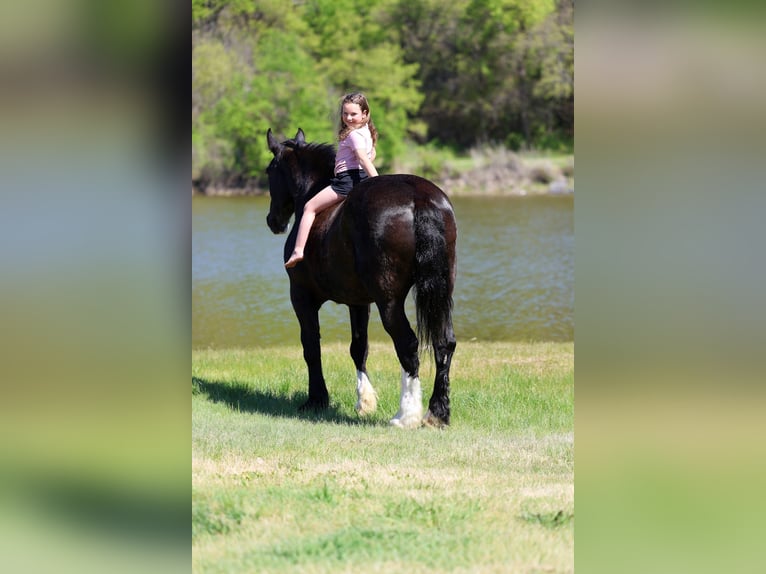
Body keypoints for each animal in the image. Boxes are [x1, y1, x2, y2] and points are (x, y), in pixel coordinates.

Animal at [265, 128, 457, 428]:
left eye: (269, 171)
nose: (272, 220)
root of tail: (420, 198)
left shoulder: (301, 296)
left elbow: (311, 346)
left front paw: (316, 399)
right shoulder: (358, 302)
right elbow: (359, 347)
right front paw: (364, 401)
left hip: (389, 301)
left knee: (408, 344)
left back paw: (406, 415)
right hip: (441, 292)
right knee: (443, 343)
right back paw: (437, 412)